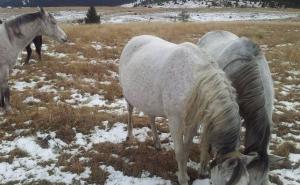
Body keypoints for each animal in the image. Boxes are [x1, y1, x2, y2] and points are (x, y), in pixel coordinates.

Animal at [119, 35, 258, 185]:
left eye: (247, 182)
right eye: (227, 181)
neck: (195, 81)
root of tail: (134, 39)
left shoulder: (194, 122)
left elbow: (186, 149)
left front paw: (185, 174)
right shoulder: (175, 120)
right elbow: (180, 151)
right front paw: (182, 179)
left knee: (151, 117)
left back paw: (157, 143)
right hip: (128, 97)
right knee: (130, 112)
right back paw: (130, 136)